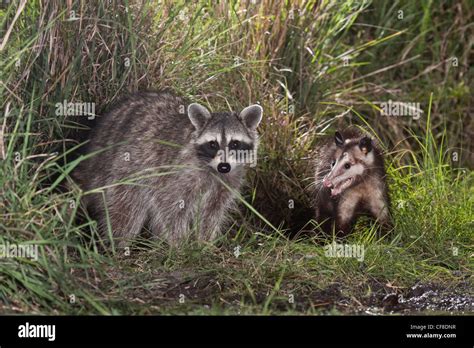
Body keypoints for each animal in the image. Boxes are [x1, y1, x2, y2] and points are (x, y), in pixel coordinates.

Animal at [73, 91, 262, 246]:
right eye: (213, 144)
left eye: (235, 143)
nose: (224, 166)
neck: (213, 169)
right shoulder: (178, 173)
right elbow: (170, 206)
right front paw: (180, 244)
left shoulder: (229, 180)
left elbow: (212, 211)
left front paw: (204, 242)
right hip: (120, 171)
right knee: (125, 210)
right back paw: (118, 244)